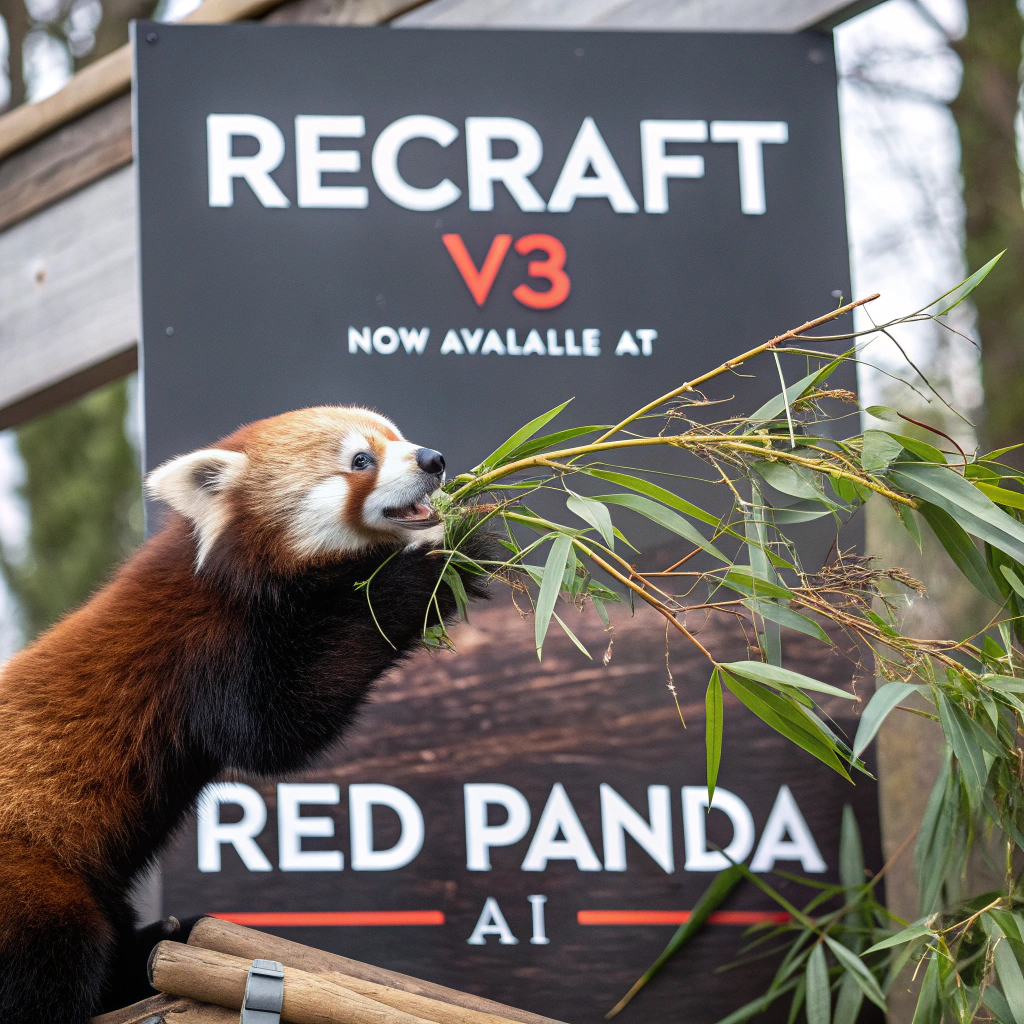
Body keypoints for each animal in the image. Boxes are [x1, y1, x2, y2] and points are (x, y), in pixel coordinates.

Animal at [0, 406, 497, 1024]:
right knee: (53, 961)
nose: (433, 460)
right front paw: (451, 549)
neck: (230, 570)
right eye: (361, 460)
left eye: (400, 438)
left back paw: (159, 943)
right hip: (31, 882)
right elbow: (281, 727)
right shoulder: (206, 650)